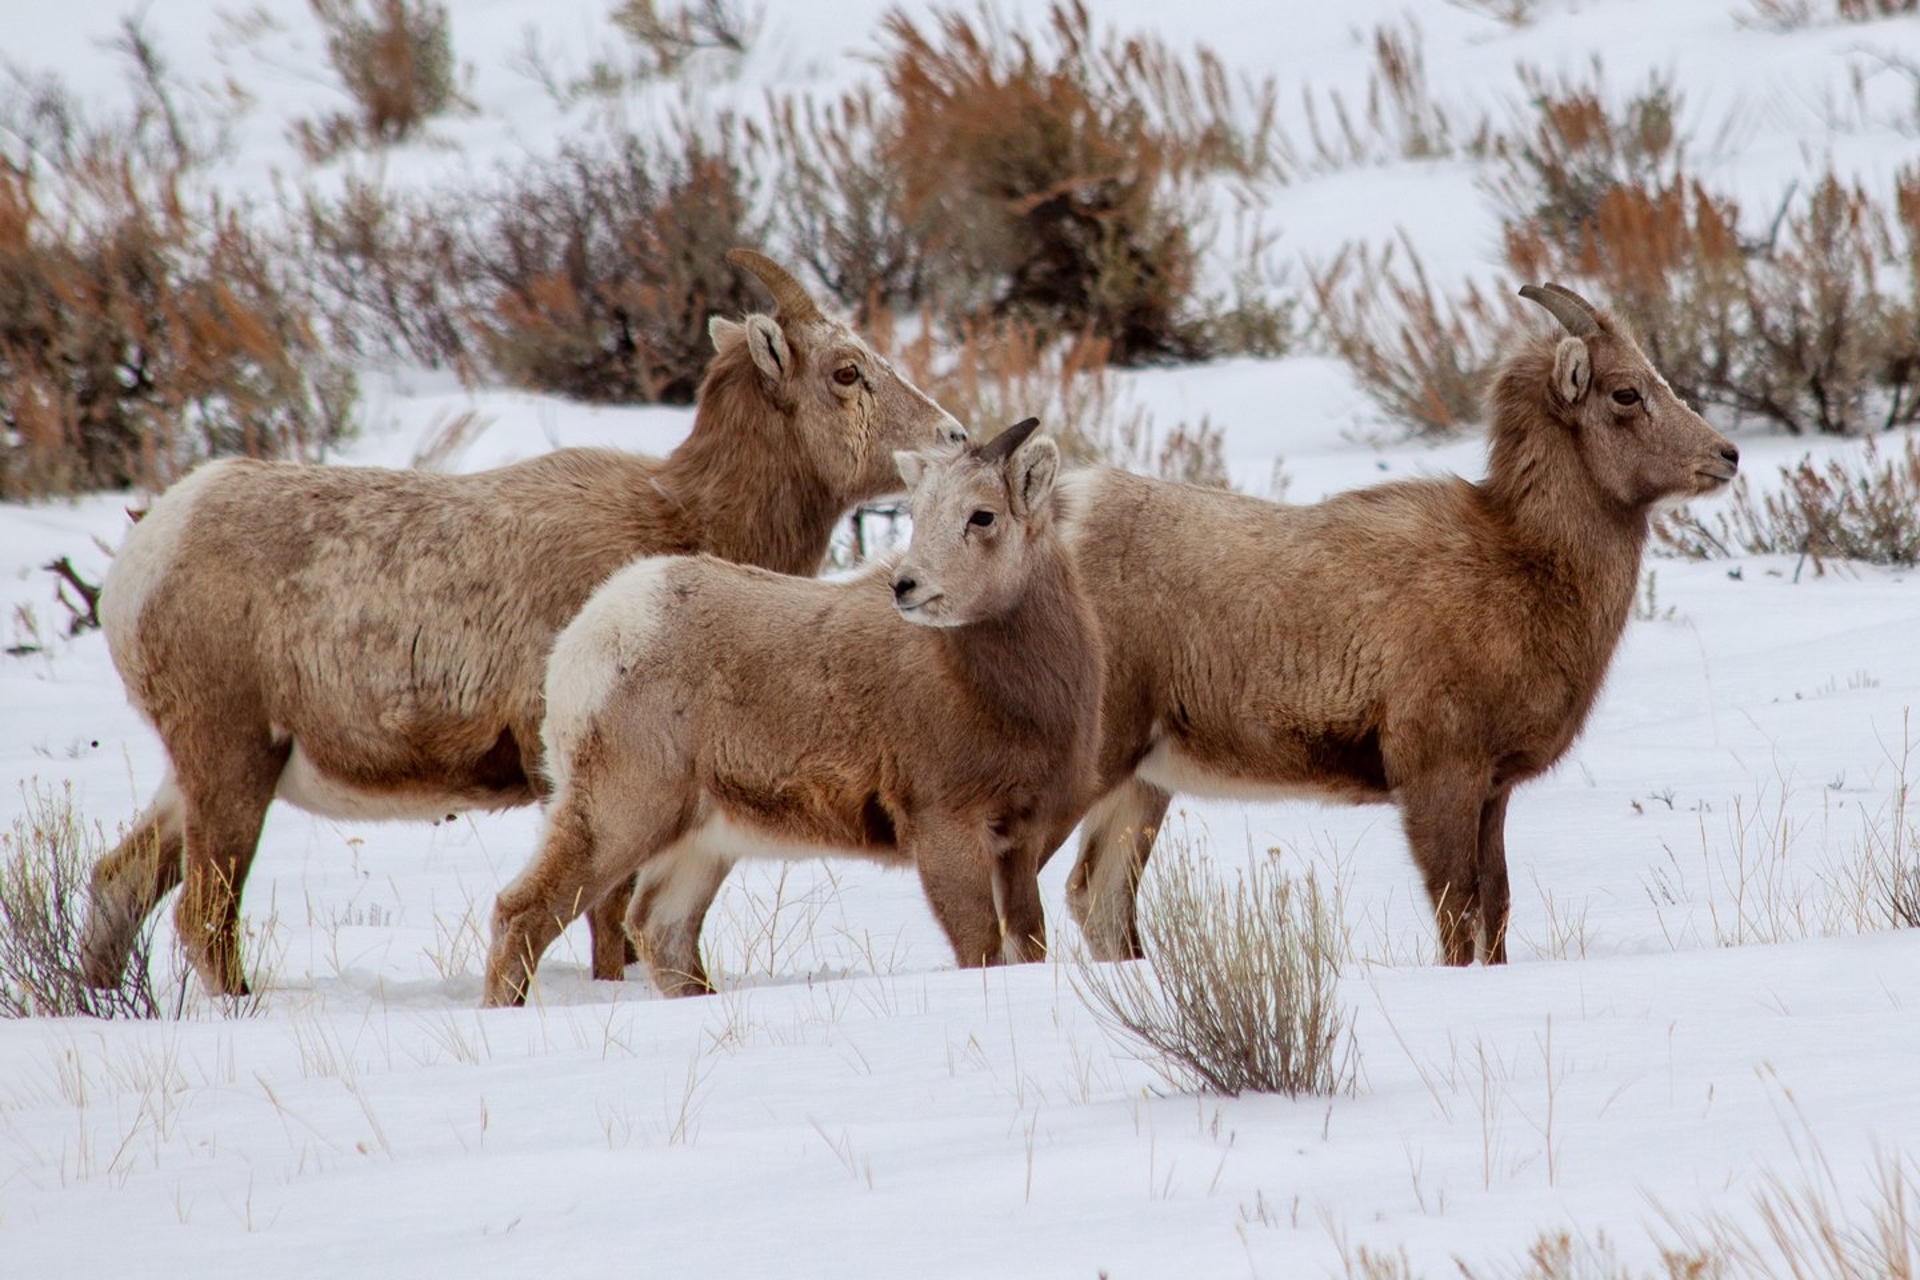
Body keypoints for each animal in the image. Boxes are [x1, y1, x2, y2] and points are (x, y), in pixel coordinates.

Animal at [83, 248, 967, 997]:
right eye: (848, 372)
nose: (952, 437)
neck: (685, 516)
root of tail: (143, 558)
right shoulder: (575, 786)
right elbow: (608, 925)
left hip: (198, 776)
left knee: (119, 882)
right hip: (232, 766)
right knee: (202, 918)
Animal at [482, 418, 1102, 1006]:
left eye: (982, 515)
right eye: (918, 511)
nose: (907, 587)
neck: (1006, 697)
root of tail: (590, 637)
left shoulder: (1020, 841)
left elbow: (1027, 941)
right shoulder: (946, 829)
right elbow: (981, 949)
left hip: (700, 840)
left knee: (662, 930)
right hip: (619, 812)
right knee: (524, 911)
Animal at [1056, 282, 1739, 966]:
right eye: (1626, 392)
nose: (1727, 456)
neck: (1527, 564)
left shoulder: (1492, 791)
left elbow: (1495, 905)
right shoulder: (1440, 777)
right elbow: (1458, 912)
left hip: (1141, 784)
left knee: (1098, 903)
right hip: (1088, 767)